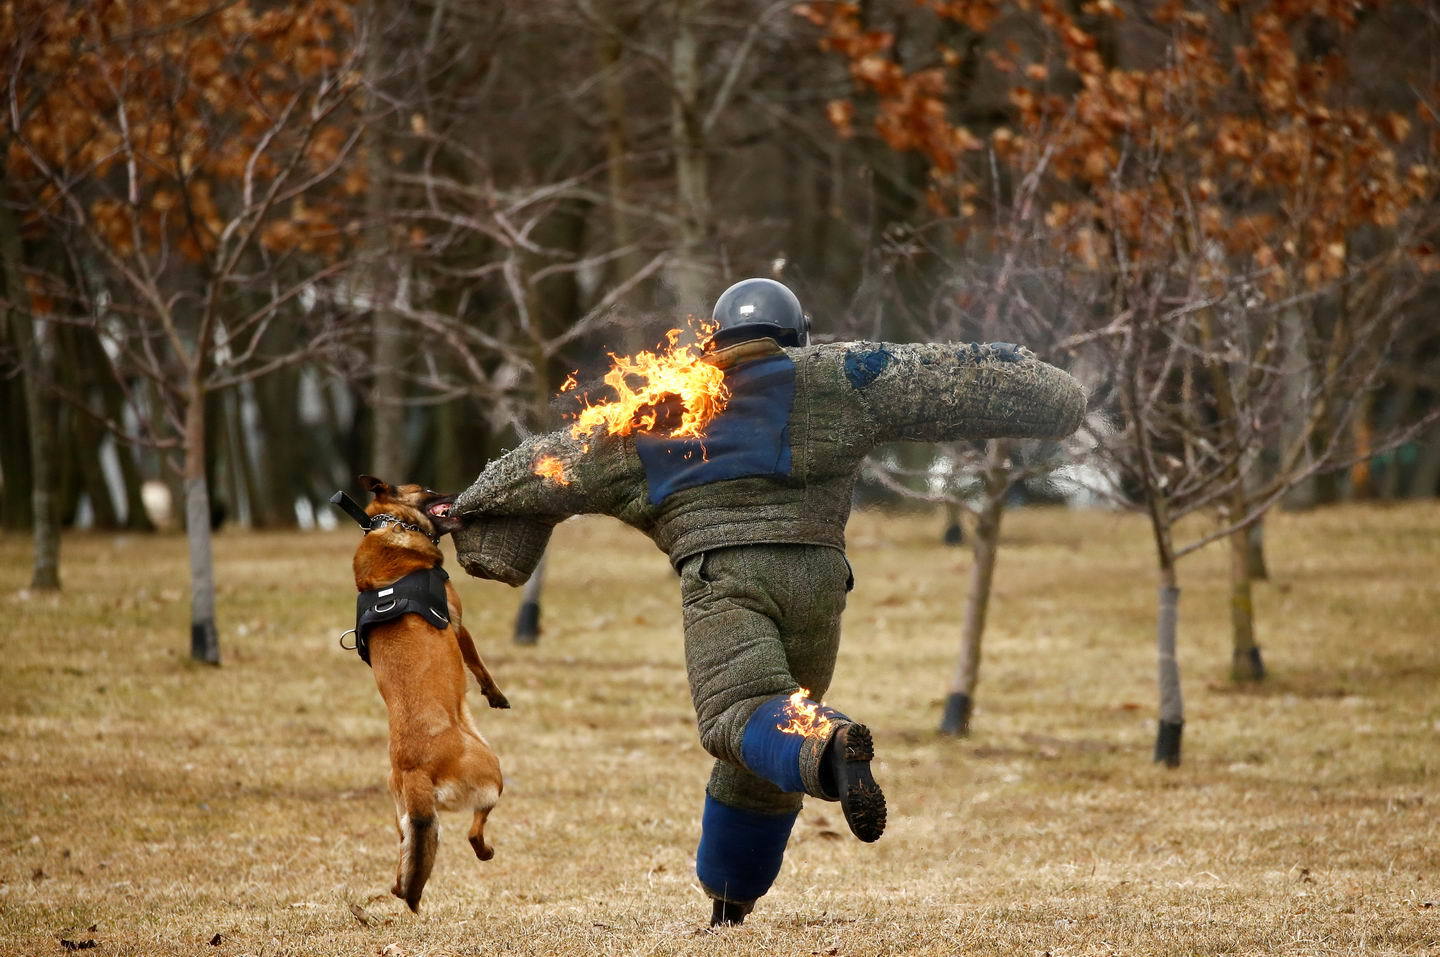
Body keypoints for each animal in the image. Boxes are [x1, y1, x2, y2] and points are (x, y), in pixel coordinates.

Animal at [347, 474, 506, 909]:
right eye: (429, 489)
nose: (464, 490)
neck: (394, 527)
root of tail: (415, 771)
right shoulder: (458, 624)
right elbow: (478, 663)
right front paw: (494, 694)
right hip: (493, 769)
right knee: (475, 830)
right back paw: (486, 851)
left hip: (405, 815)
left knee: (406, 857)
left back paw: (399, 886)